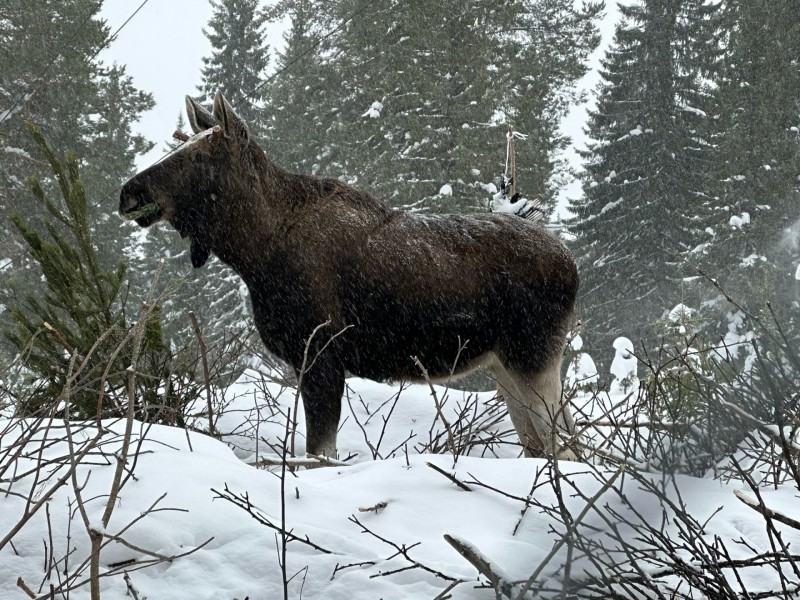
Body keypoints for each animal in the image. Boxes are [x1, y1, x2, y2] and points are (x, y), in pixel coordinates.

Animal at [119, 92, 580, 460]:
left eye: (198, 156)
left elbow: (320, 451)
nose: (129, 192)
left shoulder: (322, 351)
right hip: (503, 365)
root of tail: (571, 265)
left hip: (534, 355)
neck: (255, 253)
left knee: (566, 446)